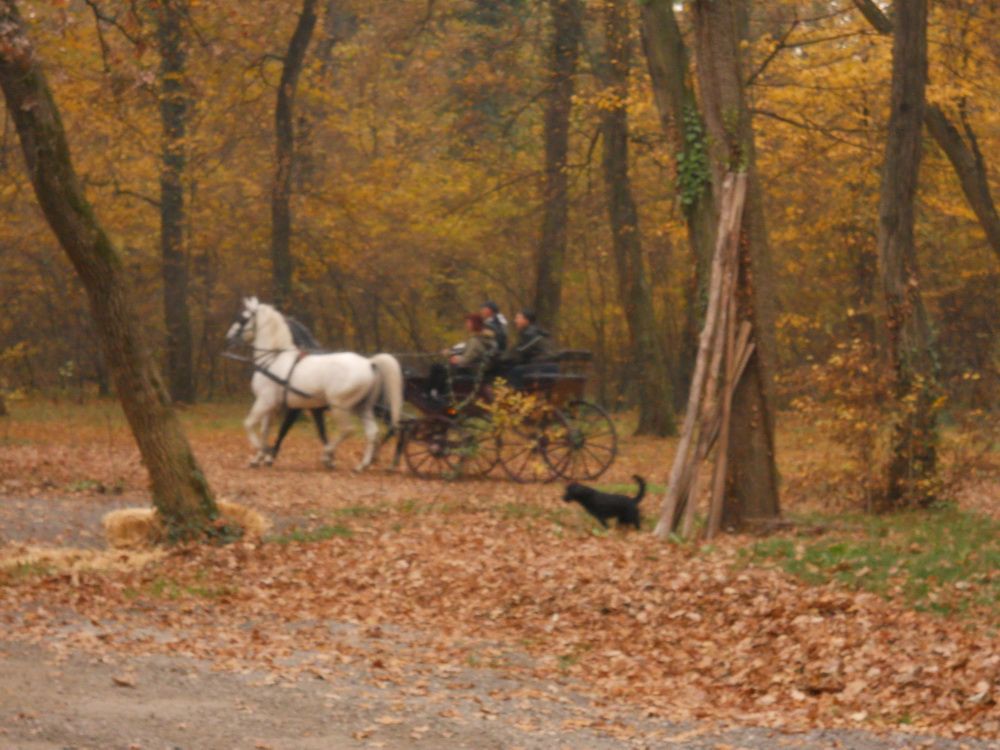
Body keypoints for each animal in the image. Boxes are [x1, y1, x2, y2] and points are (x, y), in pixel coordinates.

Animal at [227, 298, 402, 470]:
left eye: (243, 318)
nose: (228, 337)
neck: (273, 360)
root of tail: (369, 363)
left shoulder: (266, 401)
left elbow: (250, 424)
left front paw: (263, 451)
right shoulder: (273, 405)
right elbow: (265, 430)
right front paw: (259, 458)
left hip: (340, 405)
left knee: (348, 430)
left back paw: (330, 455)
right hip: (362, 406)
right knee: (372, 433)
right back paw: (362, 465)